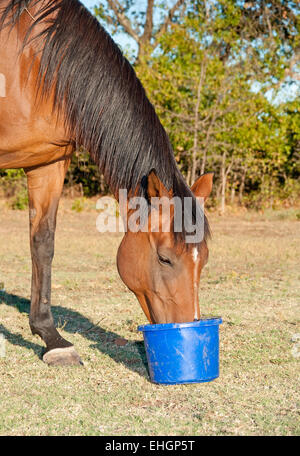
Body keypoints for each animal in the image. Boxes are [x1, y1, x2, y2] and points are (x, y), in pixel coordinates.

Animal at [0, 0, 213, 366]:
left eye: (204, 259)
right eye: (165, 259)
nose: (189, 325)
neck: (31, 62)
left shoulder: (47, 163)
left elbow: (42, 243)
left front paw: (52, 338)